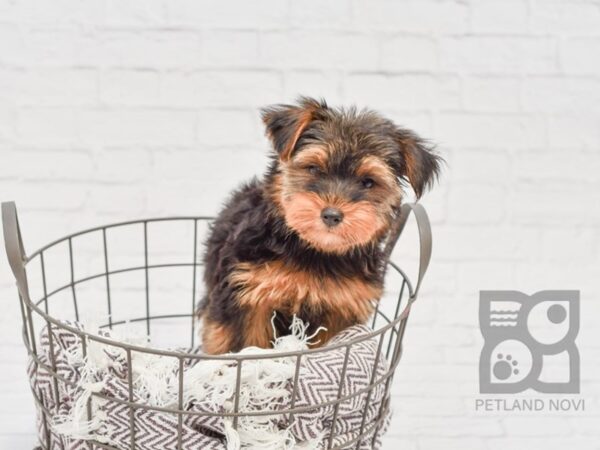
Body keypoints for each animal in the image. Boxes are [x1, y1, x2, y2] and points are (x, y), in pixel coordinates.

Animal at [199, 96, 438, 354]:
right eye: (313, 168)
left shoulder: (342, 308)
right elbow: (245, 344)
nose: (332, 215)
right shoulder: (248, 293)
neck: (315, 251)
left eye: (368, 182)